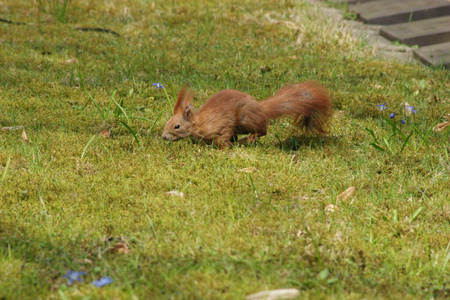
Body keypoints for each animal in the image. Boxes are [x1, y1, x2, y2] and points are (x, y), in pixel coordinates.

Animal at [161, 81, 330, 148]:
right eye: (166, 123)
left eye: (177, 126)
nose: (163, 137)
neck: (200, 123)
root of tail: (261, 109)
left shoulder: (221, 126)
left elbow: (223, 138)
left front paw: (223, 148)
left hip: (245, 118)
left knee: (263, 130)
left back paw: (249, 139)